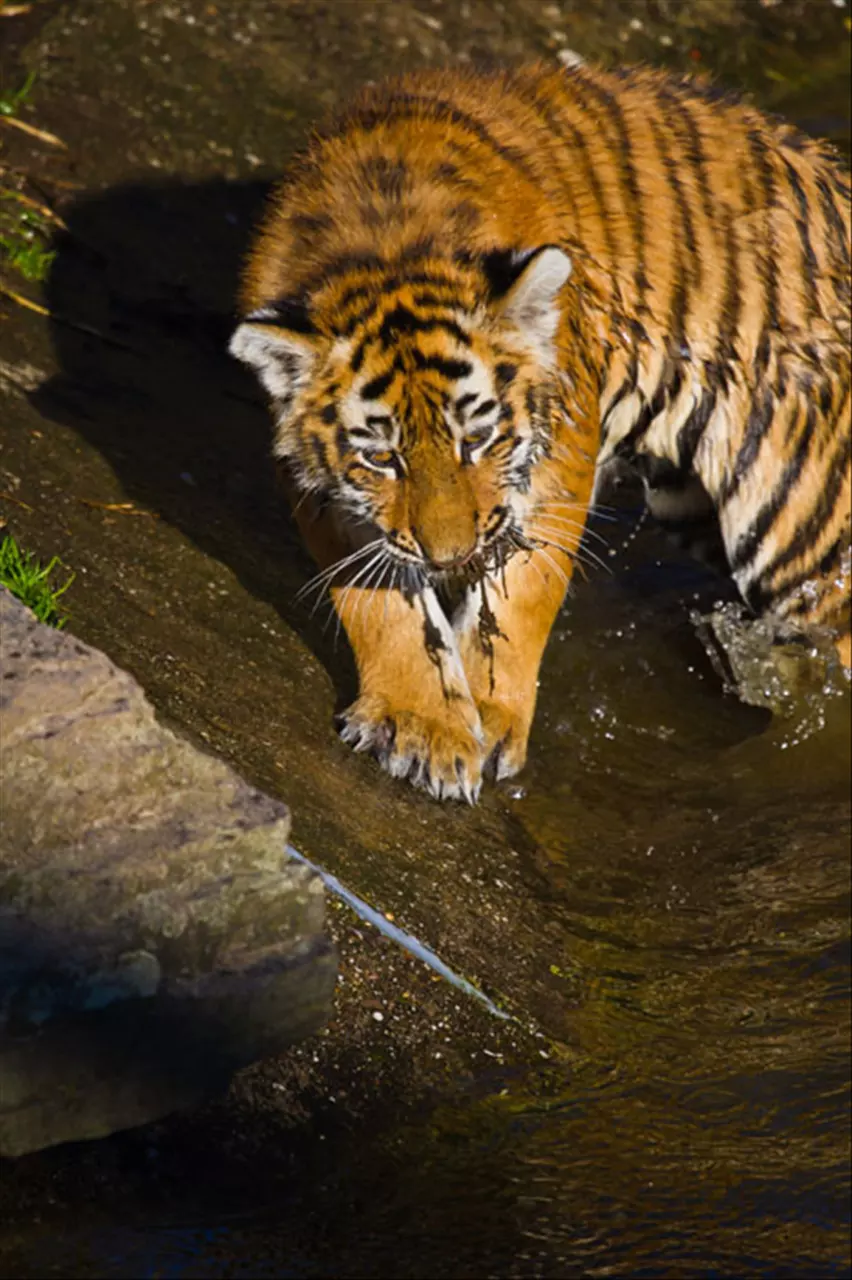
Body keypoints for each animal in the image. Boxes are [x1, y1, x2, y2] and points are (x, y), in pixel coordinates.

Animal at [227, 64, 849, 798]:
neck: (388, 241)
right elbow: (383, 609)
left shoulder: (557, 460)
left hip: (803, 529)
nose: (450, 557)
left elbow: (519, 600)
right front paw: (421, 726)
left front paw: (490, 718)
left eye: (476, 439)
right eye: (382, 459)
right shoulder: (333, 497)